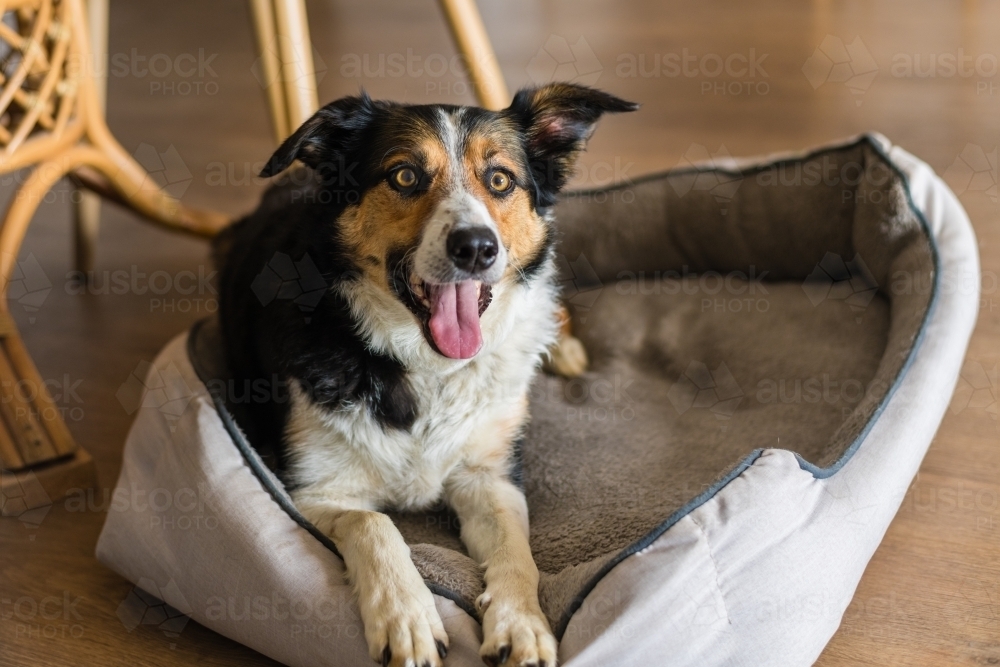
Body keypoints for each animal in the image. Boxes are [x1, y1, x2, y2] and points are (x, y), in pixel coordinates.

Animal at [214, 85, 636, 667]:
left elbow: (517, 552)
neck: (429, 367)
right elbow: (373, 522)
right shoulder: (314, 490)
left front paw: (522, 626)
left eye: (500, 180)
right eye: (405, 176)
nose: (476, 247)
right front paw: (407, 619)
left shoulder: (490, 476)